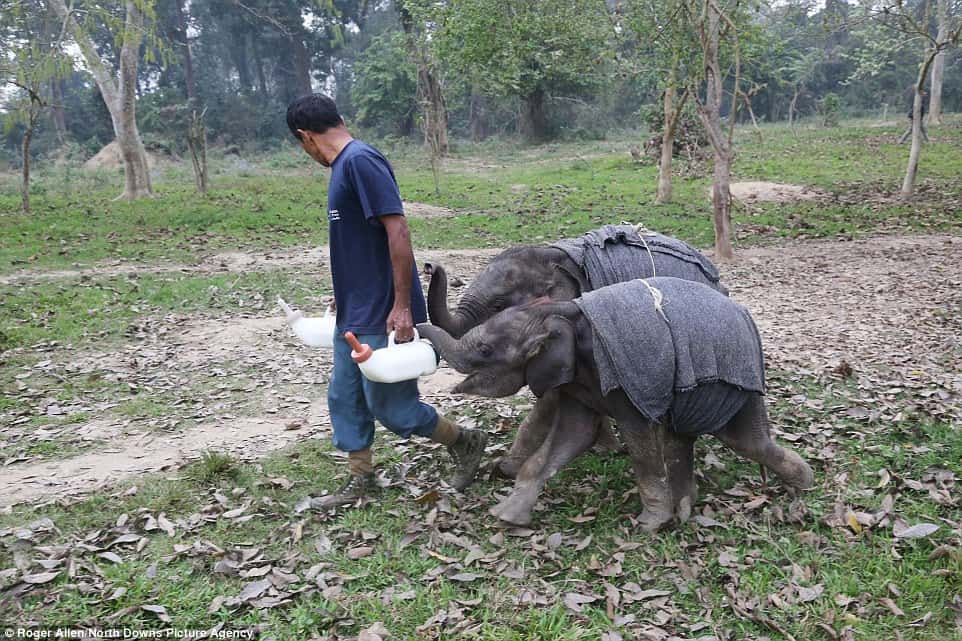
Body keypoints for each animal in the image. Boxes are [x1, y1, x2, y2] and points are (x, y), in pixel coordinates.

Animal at [418, 277, 814, 530]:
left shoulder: (621, 374)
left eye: (486, 350)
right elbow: (573, 435)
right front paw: (506, 516)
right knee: (685, 438)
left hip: (732, 380)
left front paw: (649, 525)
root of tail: (746, 315)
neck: (558, 312)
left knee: (745, 441)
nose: (410, 332)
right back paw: (690, 507)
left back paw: (803, 485)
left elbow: (637, 438)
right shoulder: (577, 378)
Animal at [426, 225, 726, 478]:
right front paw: (605, 447)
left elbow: (552, 397)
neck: (551, 254)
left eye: (499, 305)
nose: (430, 266)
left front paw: (504, 470)